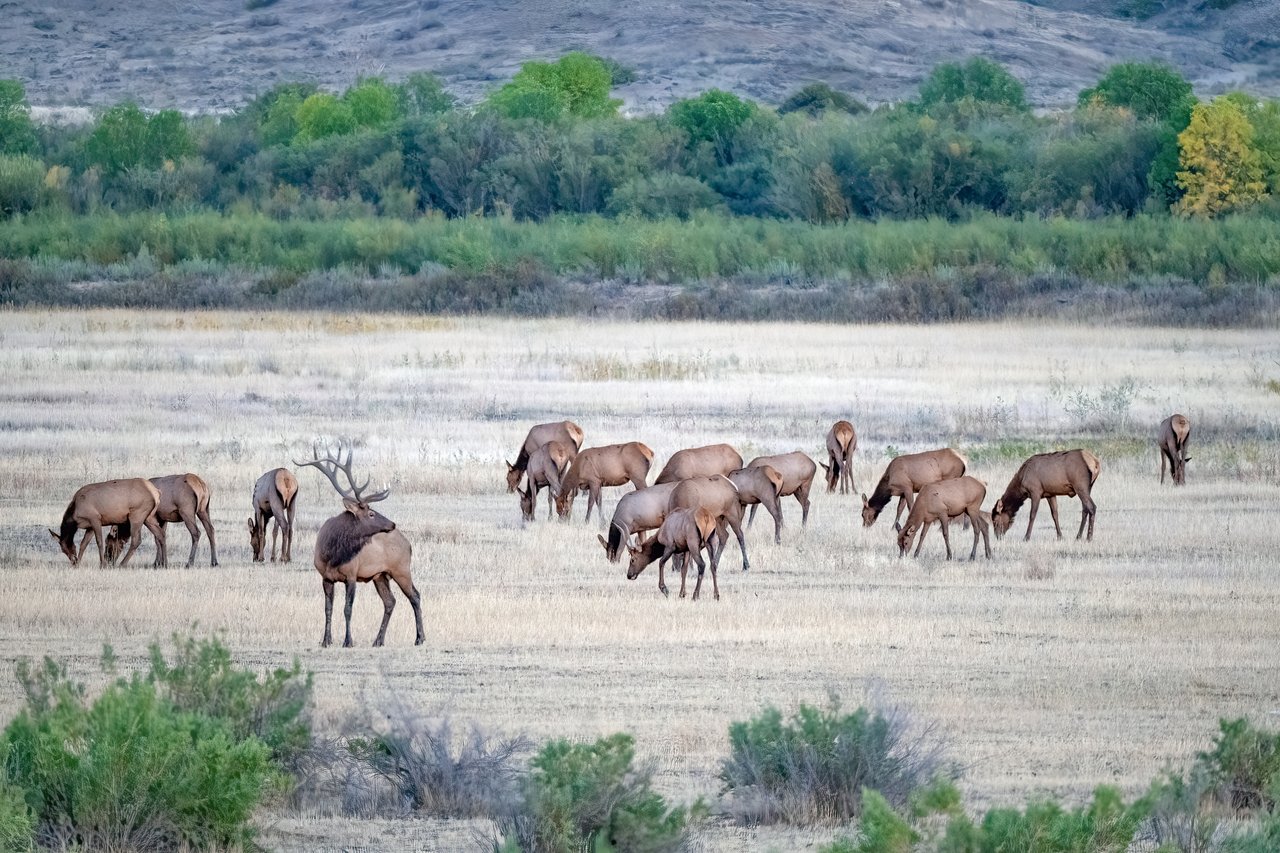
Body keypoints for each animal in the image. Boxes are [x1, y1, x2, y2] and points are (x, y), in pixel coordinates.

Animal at [295, 445, 424, 648]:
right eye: (371, 514)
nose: (392, 524)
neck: (332, 554)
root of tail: (408, 543)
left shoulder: (351, 575)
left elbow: (347, 609)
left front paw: (348, 641)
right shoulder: (325, 577)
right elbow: (328, 609)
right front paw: (326, 640)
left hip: (401, 569)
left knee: (415, 596)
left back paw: (420, 638)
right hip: (380, 575)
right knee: (390, 601)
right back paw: (378, 640)